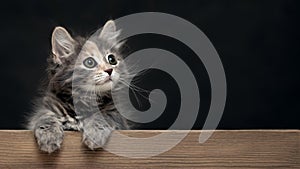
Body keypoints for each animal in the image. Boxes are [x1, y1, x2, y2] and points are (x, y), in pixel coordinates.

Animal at [25, 19, 129, 153]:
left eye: (112, 59)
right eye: (89, 62)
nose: (109, 70)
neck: (84, 101)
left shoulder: (118, 117)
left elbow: (103, 116)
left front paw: (95, 134)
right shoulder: (46, 109)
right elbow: (45, 117)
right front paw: (49, 136)